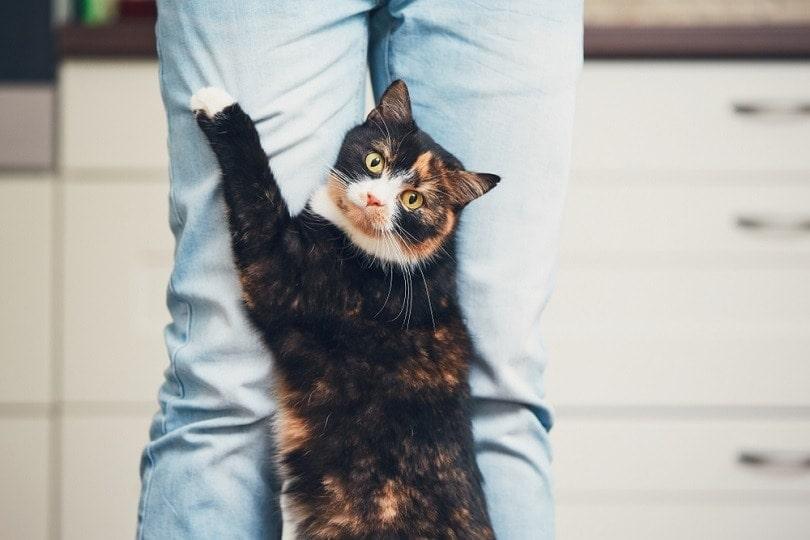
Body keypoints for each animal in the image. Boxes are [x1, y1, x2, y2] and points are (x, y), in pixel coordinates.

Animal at [192, 80, 498, 540]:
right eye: (375, 160)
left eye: (413, 199)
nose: (374, 198)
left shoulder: (280, 274)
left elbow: (258, 189)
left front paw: (219, 107)